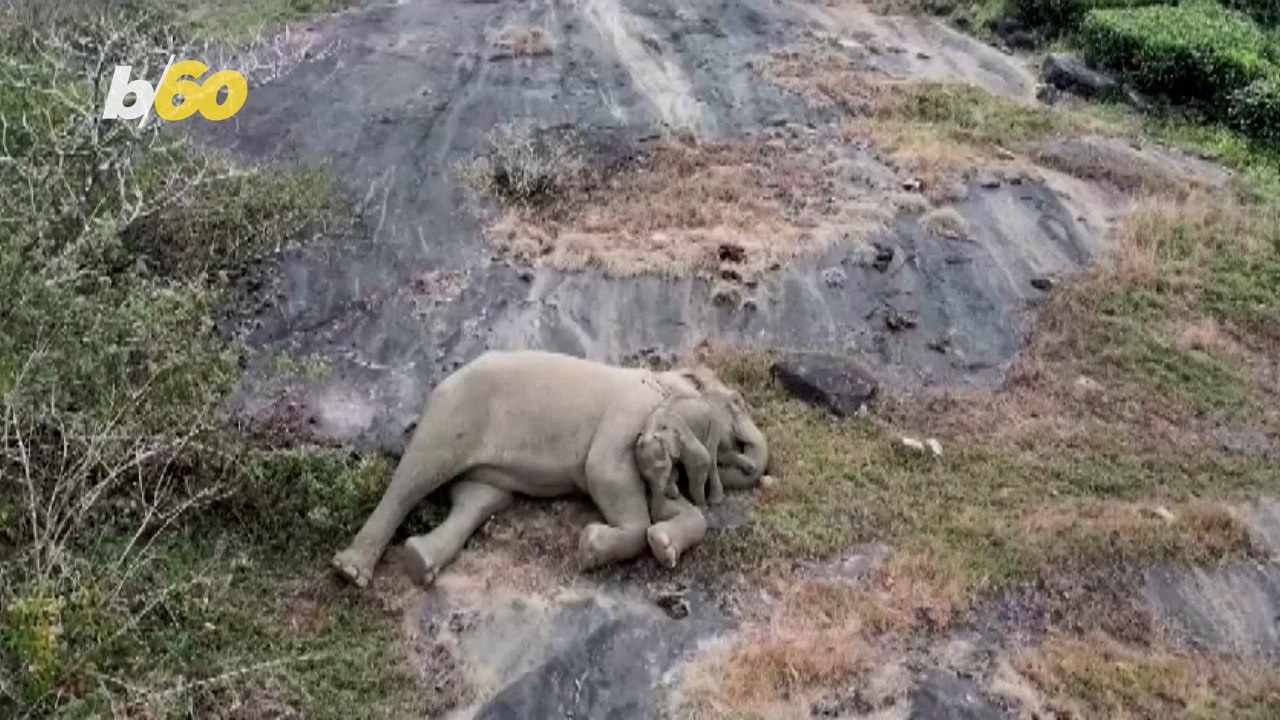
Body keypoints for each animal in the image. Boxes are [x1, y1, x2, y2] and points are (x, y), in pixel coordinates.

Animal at [331, 350, 769, 587]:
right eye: (736, 403)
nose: (754, 466)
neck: (666, 379)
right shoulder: (629, 415)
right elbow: (603, 472)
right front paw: (590, 547)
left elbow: (664, 507)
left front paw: (664, 544)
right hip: (454, 415)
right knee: (415, 477)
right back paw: (351, 572)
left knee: (478, 499)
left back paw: (419, 561)